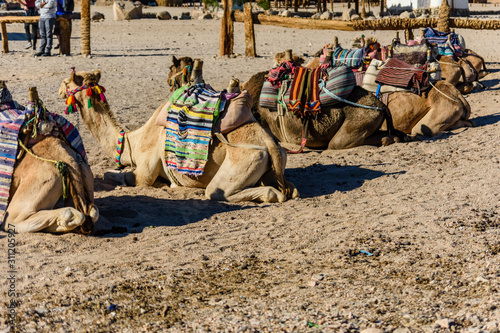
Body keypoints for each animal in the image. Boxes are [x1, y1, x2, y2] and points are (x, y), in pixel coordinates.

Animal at [60, 69, 298, 202]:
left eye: (67, 82)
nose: (60, 89)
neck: (132, 141)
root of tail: (271, 144)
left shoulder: (144, 172)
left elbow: (116, 176)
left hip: (246, 159)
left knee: (220, 192)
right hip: (278, 162)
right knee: (291, 190)